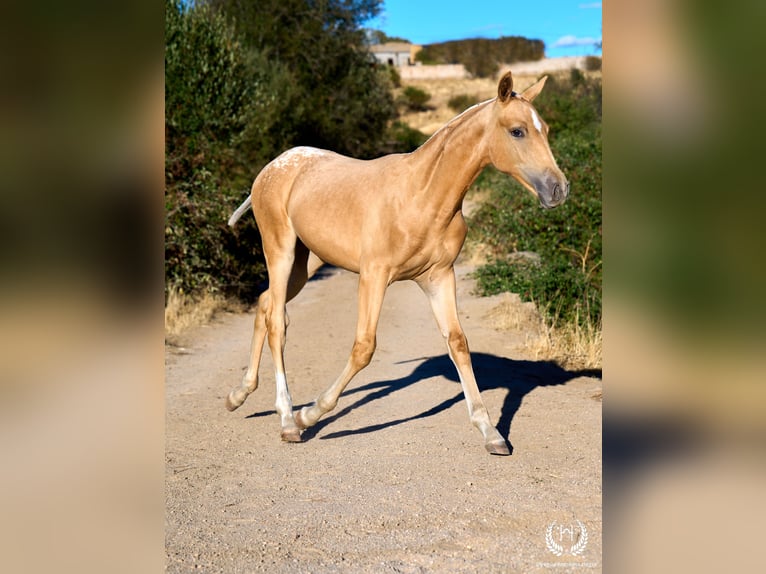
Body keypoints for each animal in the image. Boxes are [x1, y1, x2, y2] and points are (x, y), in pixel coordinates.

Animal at [226, 71, 568, 455]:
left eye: (546, 129)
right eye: (517, 131)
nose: (558, 189)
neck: (422, 196)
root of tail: (272, 167)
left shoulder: (439, 278)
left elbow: (458, 343)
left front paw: (491, 432)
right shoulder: (374, 276)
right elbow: (364, 348)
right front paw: (309, 414)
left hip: (306, 261)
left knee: (266, 304)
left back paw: (239, 395)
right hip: (280, 251)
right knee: (277, 322)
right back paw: (287, 419)